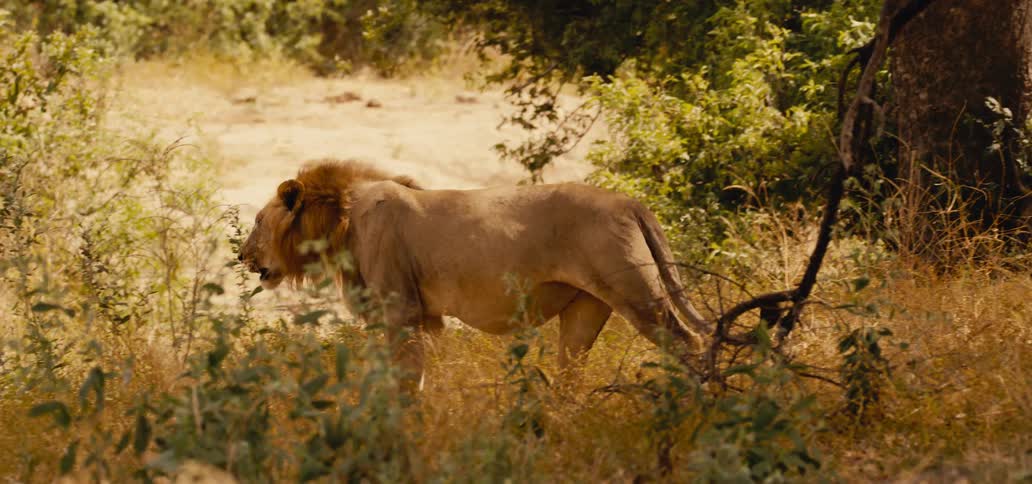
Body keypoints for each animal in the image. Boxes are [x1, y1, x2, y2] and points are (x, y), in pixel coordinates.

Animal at [239, 159, 711, 387]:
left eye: (258, 221)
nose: (241, 255)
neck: (341, 218)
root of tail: (630, 202)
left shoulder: (402, 310)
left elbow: (405, 378)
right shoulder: (427, 316)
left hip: (636, 293)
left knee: (691, 342)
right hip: (586, 308)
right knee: (570, 370)